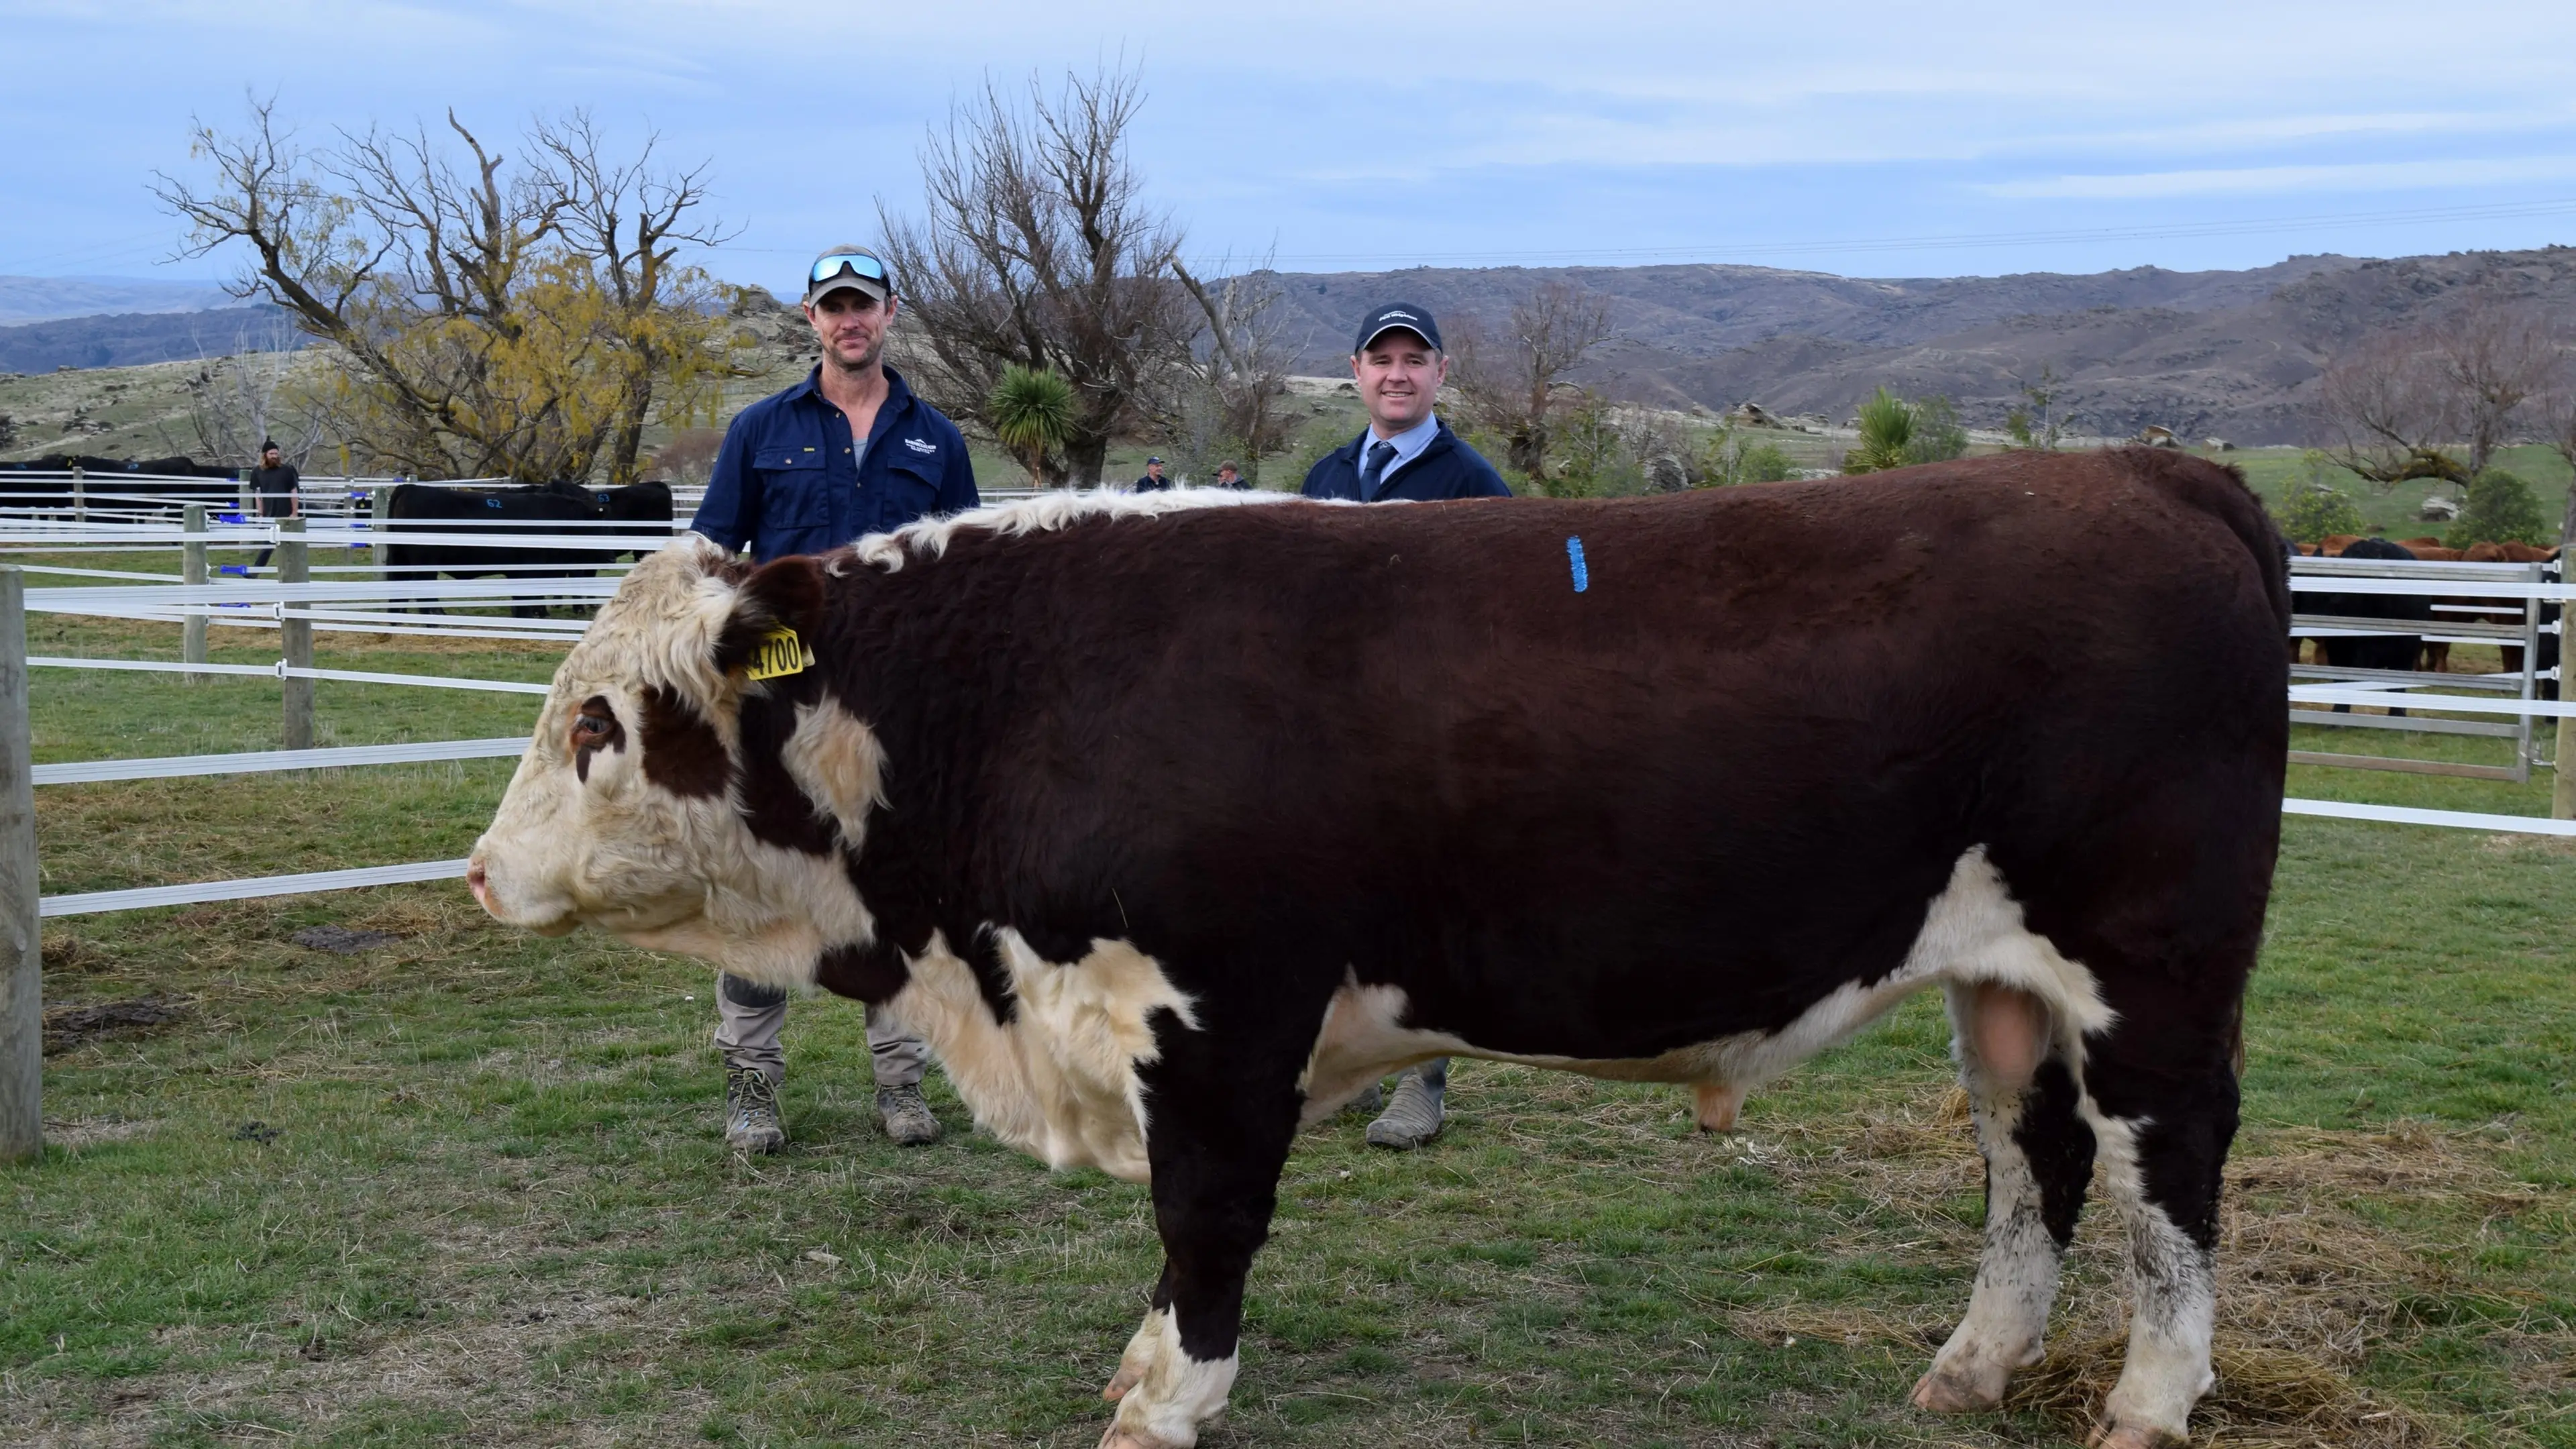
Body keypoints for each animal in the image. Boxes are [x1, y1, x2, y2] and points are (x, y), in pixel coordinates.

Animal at [382, 479, 674, 617]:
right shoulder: (534, 567)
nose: (612, 556)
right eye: (603, 527)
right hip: (424, 561)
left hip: (401, 557)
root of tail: (410, 487)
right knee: (422, 591)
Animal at [468, 448, 2290, 1449]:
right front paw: (1144, 1370)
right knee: (2033, 1151)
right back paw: (1971, 1366)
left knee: (2172, 1156)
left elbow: (1205, 1217)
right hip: (2003, 977)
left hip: (2152, 959)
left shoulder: (1219, 1009)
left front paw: (1169, 1396)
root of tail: (2149, 468)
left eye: (597, 722)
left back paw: (2150, 1396)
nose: (482, 871)